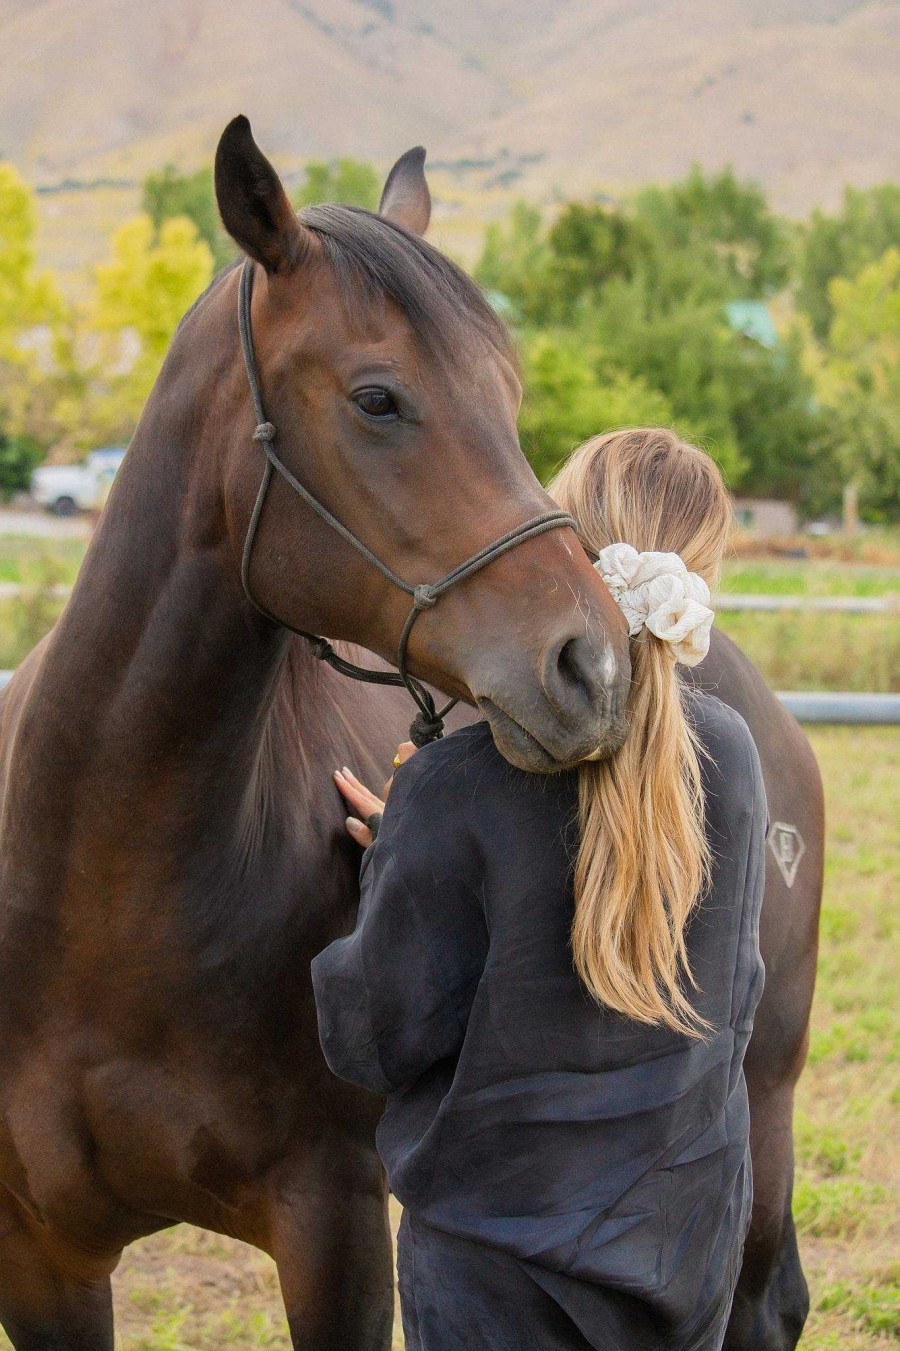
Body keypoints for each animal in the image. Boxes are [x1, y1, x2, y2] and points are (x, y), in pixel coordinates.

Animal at [0, 118, 816, 1351]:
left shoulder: (333, 1220)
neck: (105, 895)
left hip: (762, 1110)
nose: (596, 667)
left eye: (510, 392)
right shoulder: (46, 1255)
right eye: (378, 399)